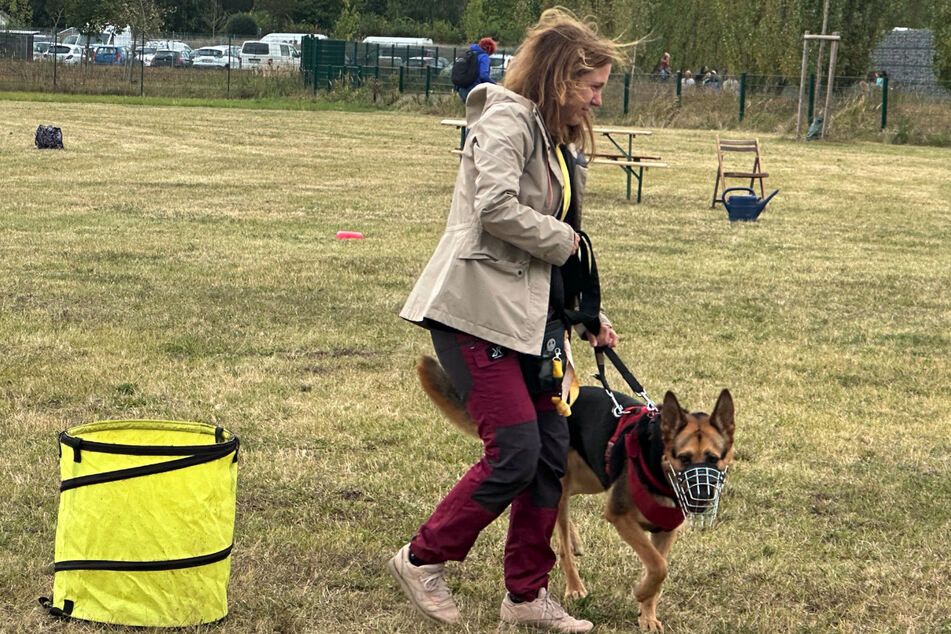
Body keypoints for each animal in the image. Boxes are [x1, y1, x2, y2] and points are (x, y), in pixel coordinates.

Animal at [416, 354, 736, 628]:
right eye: (683, 458)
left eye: (713, 459)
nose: (702, 498)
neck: (657, 467)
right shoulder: (620, 517)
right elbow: (658, 567)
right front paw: (641, 592)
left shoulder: (664, 531)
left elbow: (658, 569)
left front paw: (647, 614)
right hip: (563, 483)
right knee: (560, 540)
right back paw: (574, 585)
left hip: (593, 476)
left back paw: (575, 540)